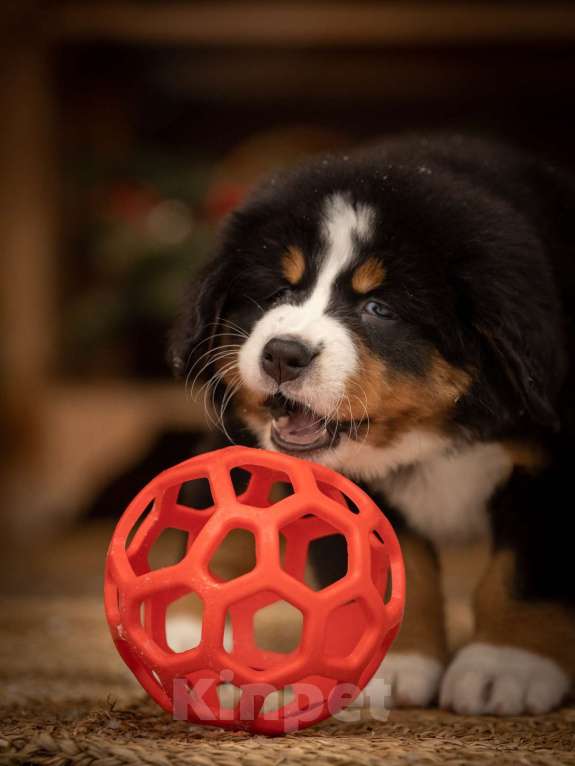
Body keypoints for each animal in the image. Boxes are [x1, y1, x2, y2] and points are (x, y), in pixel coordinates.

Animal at [171, 136, 575, 720]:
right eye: (278, 294)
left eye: (379, 307)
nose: (283, 353)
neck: (427, 435)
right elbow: (375, 566)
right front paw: (390, 662)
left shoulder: (555, 470)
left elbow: (526, 569)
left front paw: (507, 664)